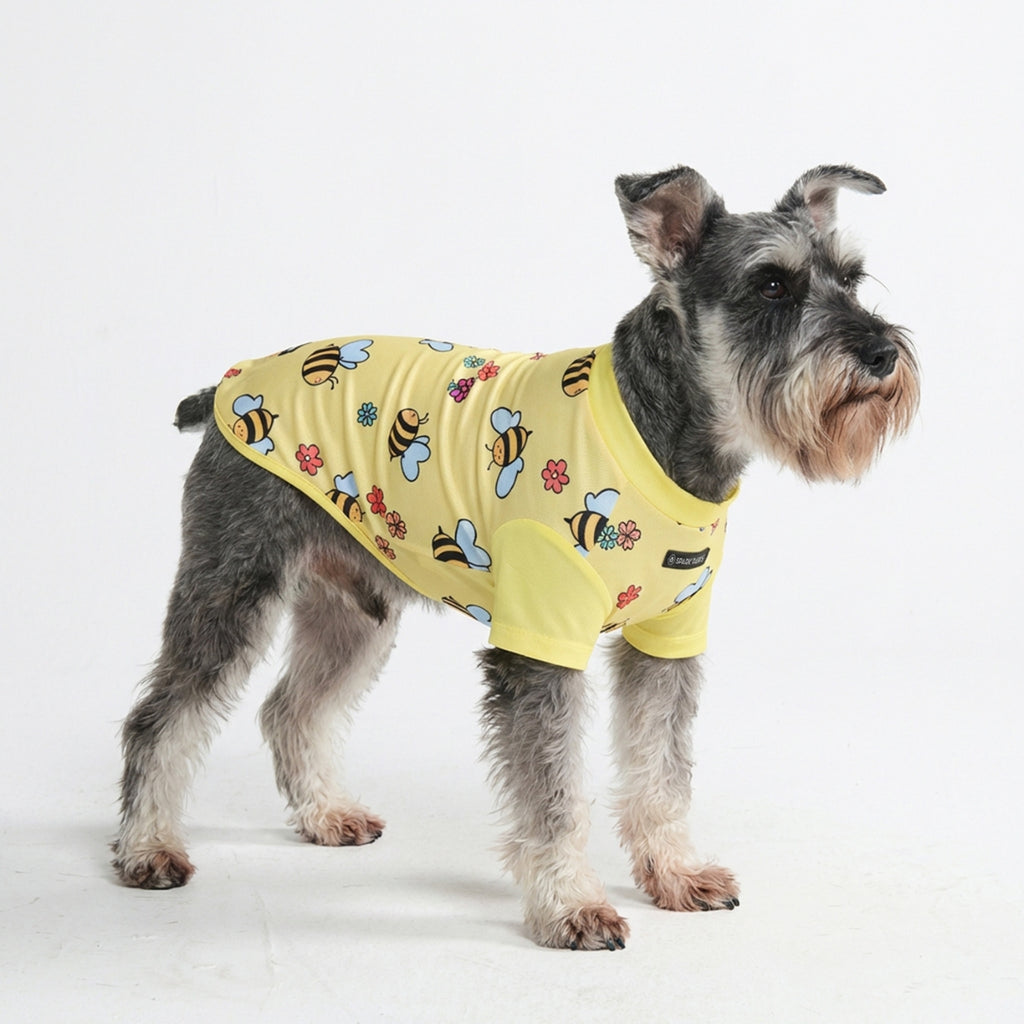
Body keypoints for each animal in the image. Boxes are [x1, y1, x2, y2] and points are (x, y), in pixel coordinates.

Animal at [113, 164, 919, 950]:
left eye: (852, 278)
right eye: (771, 285)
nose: (882, 353)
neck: (663, 429)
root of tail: (227, 387)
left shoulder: (666, 642)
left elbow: (662, 771)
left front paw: (675, 873)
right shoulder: (539, 649)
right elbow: (554, 794)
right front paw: (572, 907)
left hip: (354, 612)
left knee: (291, 709)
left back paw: (324, 815)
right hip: (230, 588)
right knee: (162, 717)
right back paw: (147, 849)